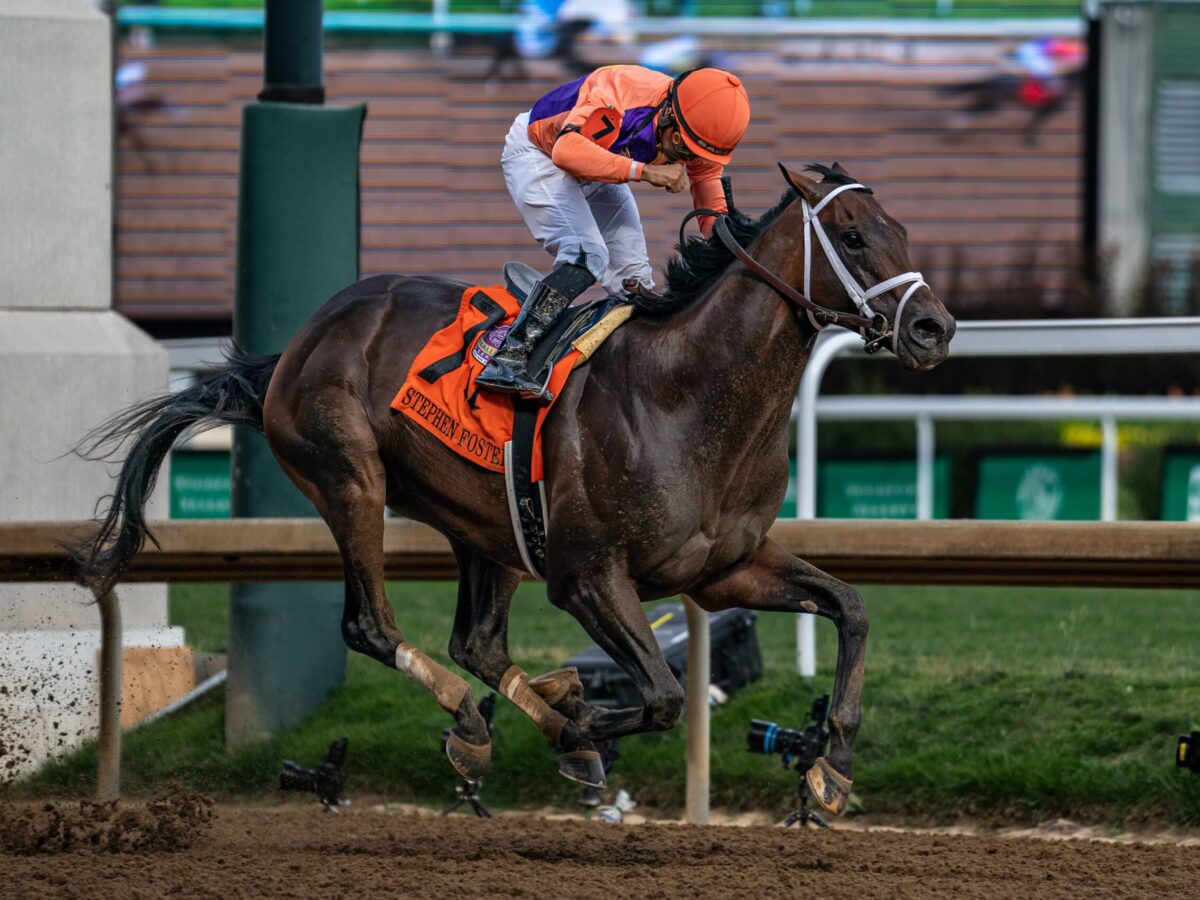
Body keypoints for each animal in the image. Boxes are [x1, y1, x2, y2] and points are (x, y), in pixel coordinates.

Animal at [75, 162, 955, 816]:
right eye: (852, 236)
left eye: (903, 231)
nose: (934, 328)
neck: (685, 395)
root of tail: (293, 348)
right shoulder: (588, 576)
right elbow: (666, 694)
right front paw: (587, 723)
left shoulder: (723, 568)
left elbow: (851, 607)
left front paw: (833, 764)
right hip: (348, 479)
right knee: (371, 624)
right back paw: (480, 721)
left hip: (484, 524)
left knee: (478, 643)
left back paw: (536, 713)